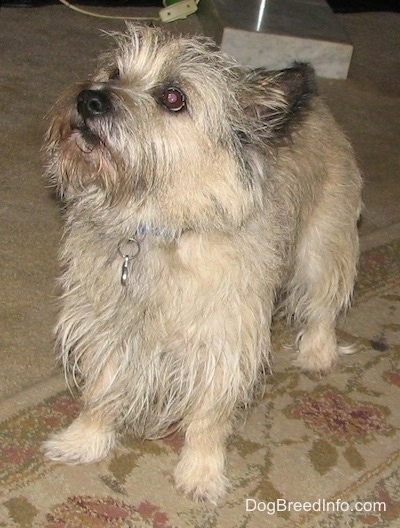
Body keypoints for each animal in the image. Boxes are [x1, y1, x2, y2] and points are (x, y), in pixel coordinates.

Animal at [43, 23, 362, 504]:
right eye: (115, 71)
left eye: (174, 97)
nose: (88, 99)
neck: (157, 228)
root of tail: (317, 104)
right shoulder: (109, 326)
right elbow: (101, 389)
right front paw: (85, 440)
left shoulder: (224, 341)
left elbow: (209, 417)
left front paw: (201, 471)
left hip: (321, 248)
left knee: (323, 303)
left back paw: (317, 352)